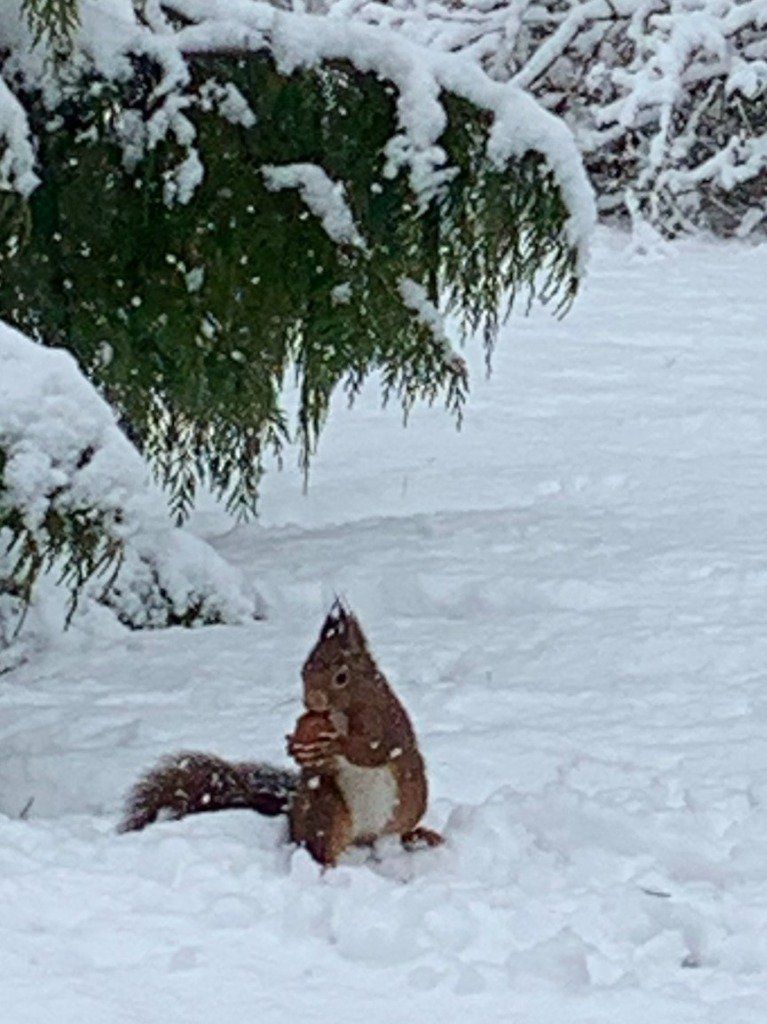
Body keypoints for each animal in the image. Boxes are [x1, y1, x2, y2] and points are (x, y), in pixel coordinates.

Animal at [120, 602, 442, 868]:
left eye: (341, 677)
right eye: (304, 670)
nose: (312, 701)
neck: (340, 712)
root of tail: (365, 837)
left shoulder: (386, 724)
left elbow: (372, 750)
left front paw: (334, 745)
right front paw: (297, 749)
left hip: (406, 808)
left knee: (396, 834)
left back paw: (419, 836)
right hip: (327, 807)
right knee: (323, 844)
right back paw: (326, 868)